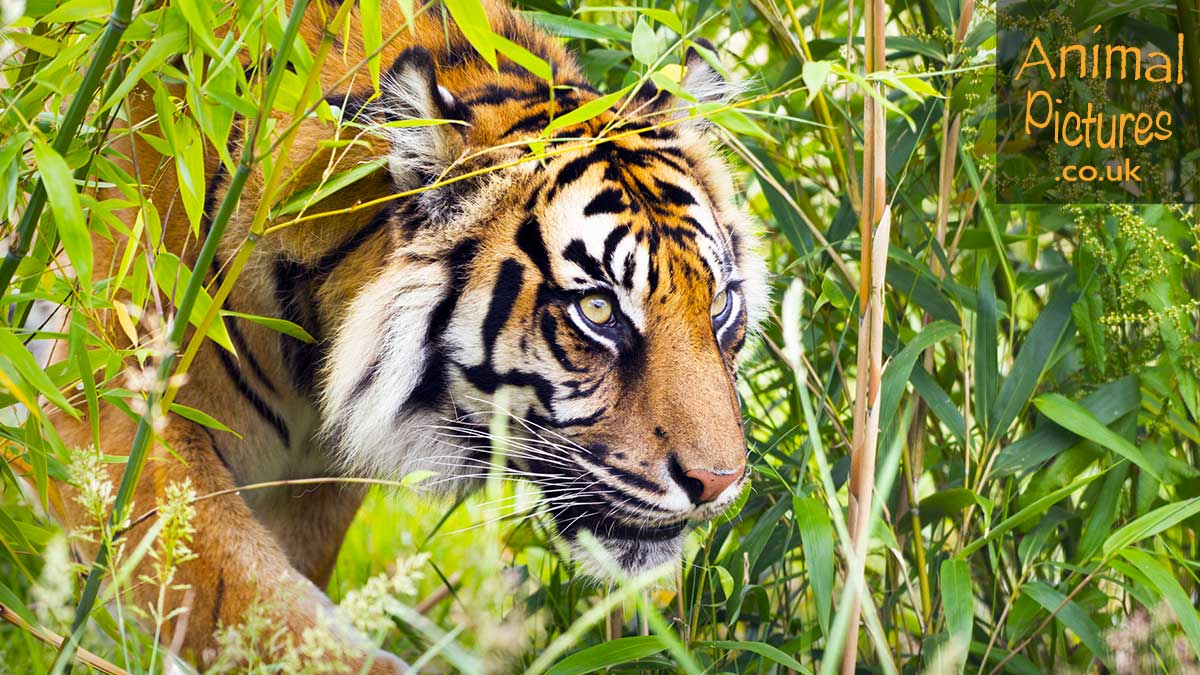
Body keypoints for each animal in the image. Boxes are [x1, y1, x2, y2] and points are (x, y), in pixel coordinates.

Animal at [40, 0, 769, 670]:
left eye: (721, 303)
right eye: (597, 309)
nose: (720, 483)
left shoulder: (316, 481)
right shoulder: (112, 418)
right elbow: (253, 605)